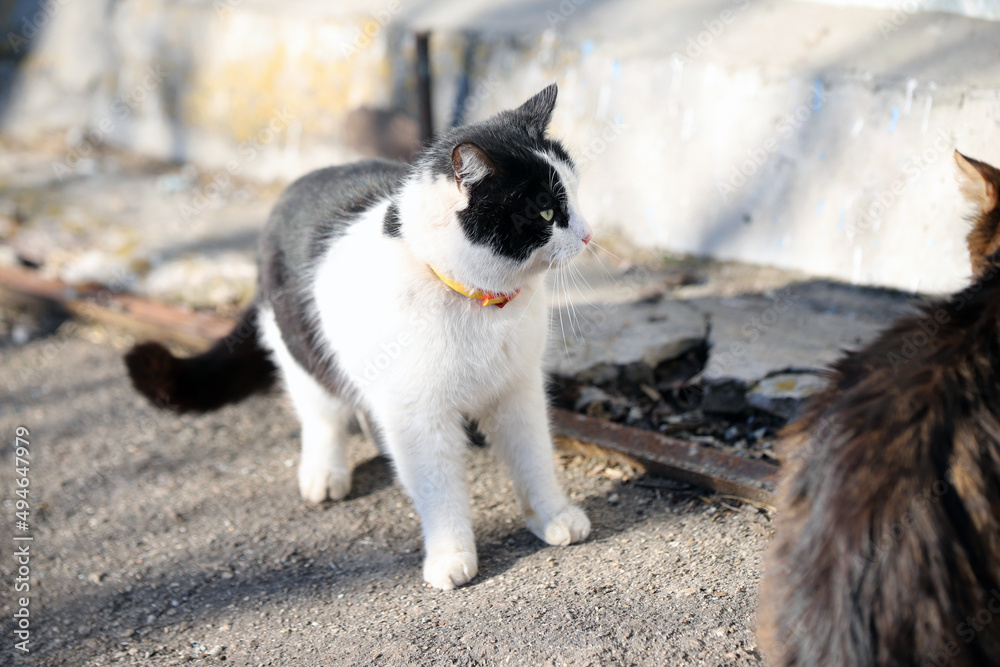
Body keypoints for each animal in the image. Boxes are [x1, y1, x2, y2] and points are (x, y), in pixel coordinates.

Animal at [125, 83, 592, 588]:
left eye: (575, 195)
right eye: (545, 210)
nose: (588, 235)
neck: (479, 301)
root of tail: (296, 186)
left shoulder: (518, 390)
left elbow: (533, 458)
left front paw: (553, 515)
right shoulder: (417, 414)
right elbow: (438, 488)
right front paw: (450, 554)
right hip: (301, 344)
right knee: (321, 412)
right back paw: (324, 471)